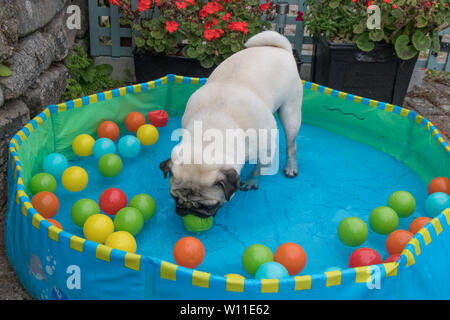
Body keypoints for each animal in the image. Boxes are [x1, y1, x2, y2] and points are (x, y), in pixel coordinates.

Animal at [160, 30, 304, 218]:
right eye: (175, 198)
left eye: (207, 206)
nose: (187, 210)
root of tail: (282, 49)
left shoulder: (266, 146)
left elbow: (259, 167)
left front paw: (251, 180)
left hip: (290, 114)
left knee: (291, 144)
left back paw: (291, 166)